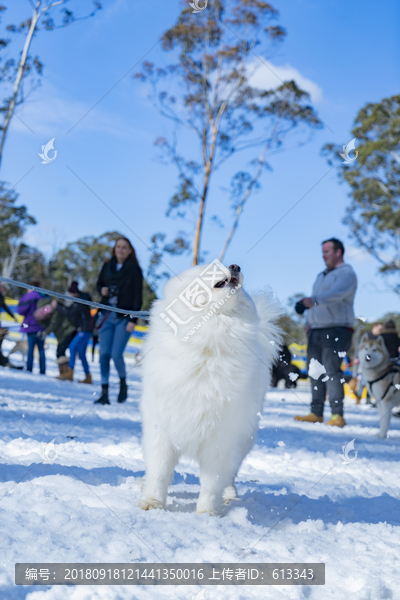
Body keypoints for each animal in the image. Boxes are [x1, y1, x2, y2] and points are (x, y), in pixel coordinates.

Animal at [138, 262, 282, 516]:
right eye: (210, 268)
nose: (236, 266)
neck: (208, 344)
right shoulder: (161, 429)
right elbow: (159, 472)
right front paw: (152, 503)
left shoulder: (222, 438)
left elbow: (211, 482)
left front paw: (207, 513)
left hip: (243, 439)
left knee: (230, 476)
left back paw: (230, 497)